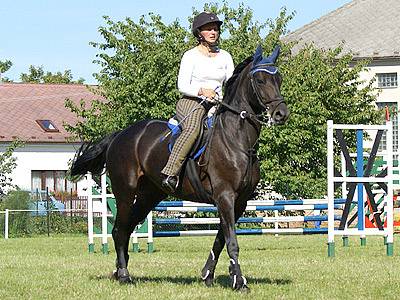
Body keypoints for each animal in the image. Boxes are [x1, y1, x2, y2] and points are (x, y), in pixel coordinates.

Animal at [70, 45, 290, 290]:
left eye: (279, 79)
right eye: (260, 80)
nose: (281, 114)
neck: (237, 139)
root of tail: (120, 135)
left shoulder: (239, 201)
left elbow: (221, 239)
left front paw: (208, 274)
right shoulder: (225, 196)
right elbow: (231, 241)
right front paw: (239, 281)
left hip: (149, 195)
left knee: (127, 229)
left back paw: (119, 271)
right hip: (125, 192)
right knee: (119, 230)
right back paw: (125, 275)